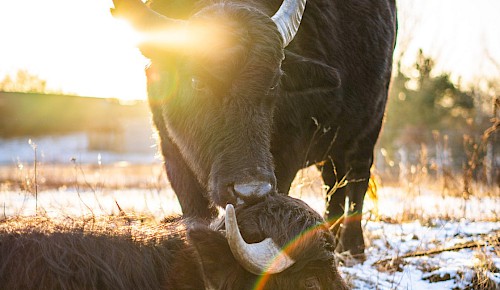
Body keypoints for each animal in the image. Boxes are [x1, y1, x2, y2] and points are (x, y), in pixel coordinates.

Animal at [112, 0, 398, 258]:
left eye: (274, 82)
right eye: (196, 81)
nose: (250, 192)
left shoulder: (287, 157)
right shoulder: (171, 152)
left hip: (368, 132)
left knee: (357, 182)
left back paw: (354, 247)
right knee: (333, 184)